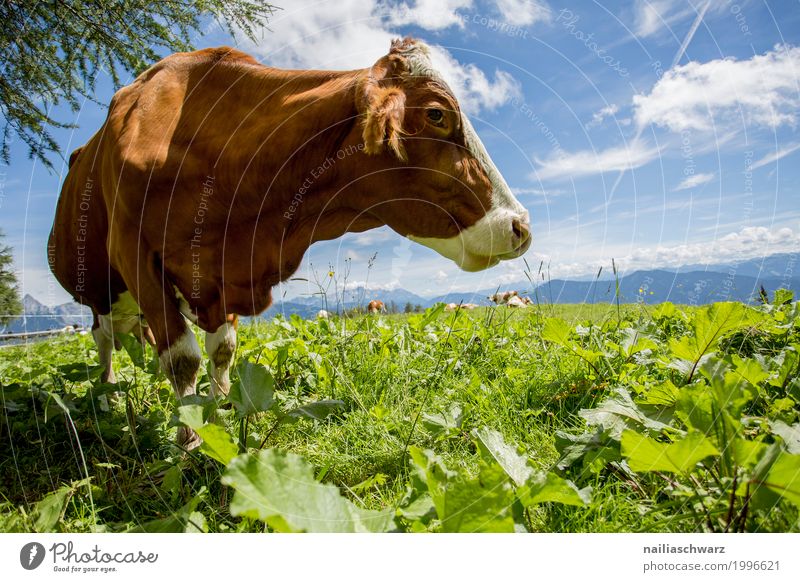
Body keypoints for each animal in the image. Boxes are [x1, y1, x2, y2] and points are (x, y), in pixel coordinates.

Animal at [48, 38, 532, 450]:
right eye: (436, 114)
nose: (521, 226)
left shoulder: (222, 272)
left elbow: (222, 350)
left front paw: (221, 412)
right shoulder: (138, 257)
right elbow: (183, 358)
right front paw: (191, 440)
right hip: (100, 287)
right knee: (104, 339)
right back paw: (108, 397)